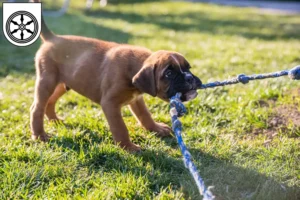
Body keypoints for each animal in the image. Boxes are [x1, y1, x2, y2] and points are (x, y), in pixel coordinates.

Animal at [30, 0, 202, 152]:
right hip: (47, 82)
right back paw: (40, 135)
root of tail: (53, 38)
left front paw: (156, 128)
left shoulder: (136, 99)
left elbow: (145, 115)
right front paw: (128, 147)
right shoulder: (110, 104)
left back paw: (55, 121)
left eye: (188, 68)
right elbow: (120, 127)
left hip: (62, 84)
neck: (134, 68)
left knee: (50, 102)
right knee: (37, 108)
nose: (189, 78)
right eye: (169, 73)